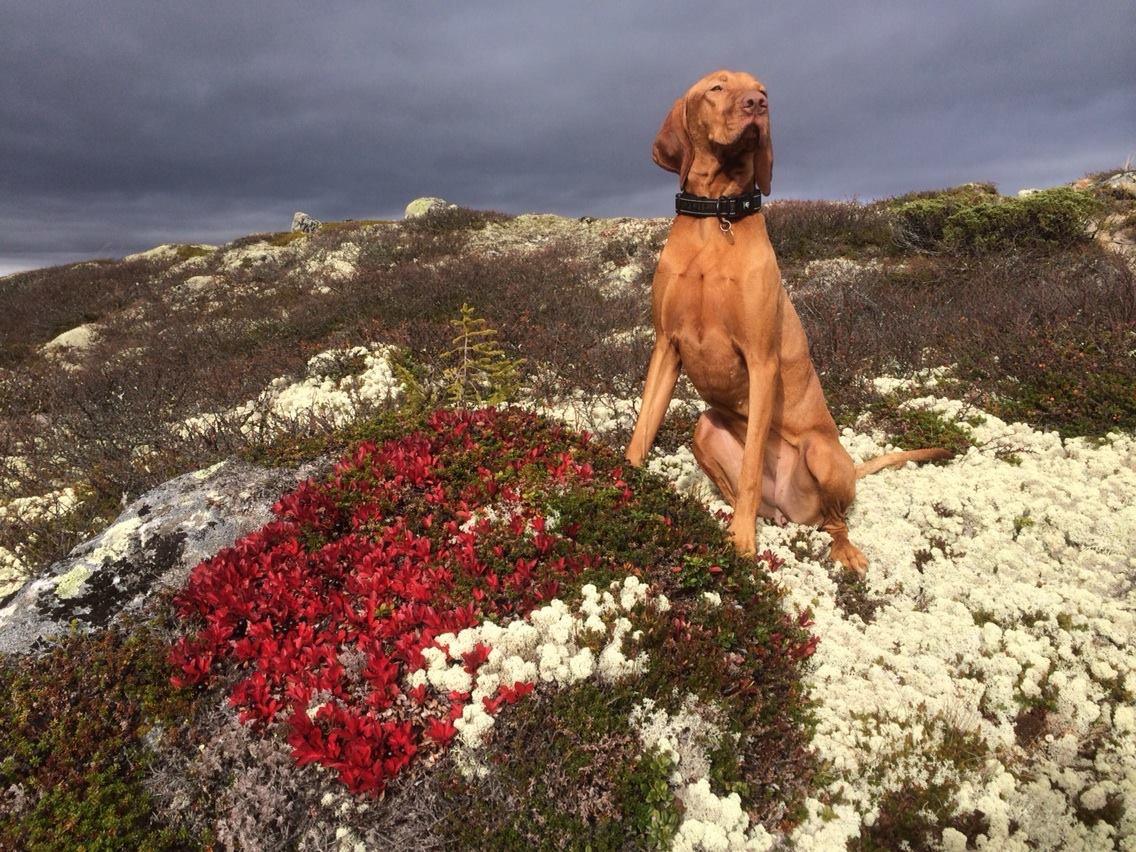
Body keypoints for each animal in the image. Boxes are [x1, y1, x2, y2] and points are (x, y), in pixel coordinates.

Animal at [627, 68, 945, 574]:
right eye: (717, 87)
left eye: (761, 89)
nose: (758, 105)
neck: (715, 218)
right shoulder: (666, 346)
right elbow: (641, 432)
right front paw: (621, 481)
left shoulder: (761, 361)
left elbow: (754, 465)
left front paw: (741, 542)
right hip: (705, 427)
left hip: (821, 454)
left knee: (834, 519)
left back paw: (842, 549)